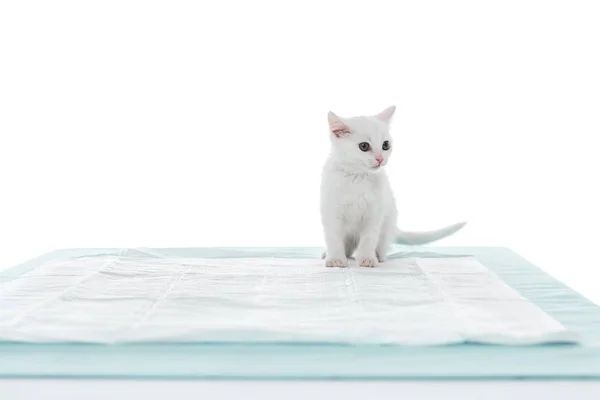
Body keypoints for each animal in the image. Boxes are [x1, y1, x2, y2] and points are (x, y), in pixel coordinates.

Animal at [322, 106, 466, 268]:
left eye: (386, 145)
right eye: (364, 146)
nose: (380, 159)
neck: (359, 177)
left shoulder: (374, 214)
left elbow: (368, 239)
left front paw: (367, 258)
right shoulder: (331, 212)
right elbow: (333, 238)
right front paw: (335, 259)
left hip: (387, 223)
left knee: (380, 244)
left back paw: (378, 256)